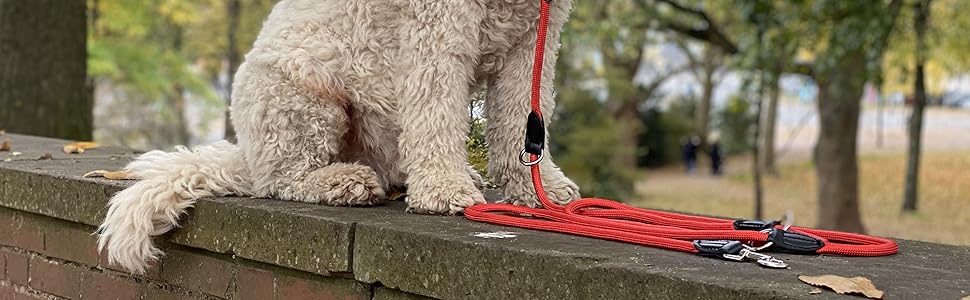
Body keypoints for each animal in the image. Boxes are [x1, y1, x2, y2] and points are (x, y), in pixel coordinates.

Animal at [96, 0, 584, 274]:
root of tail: (247, 158)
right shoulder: (439, 30)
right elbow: (435, 109)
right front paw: (443, 190)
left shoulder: (535, 38)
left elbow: (524, 115)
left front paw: (539, 188)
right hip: (302, 98)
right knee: (283, 180)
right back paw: (343, 182)